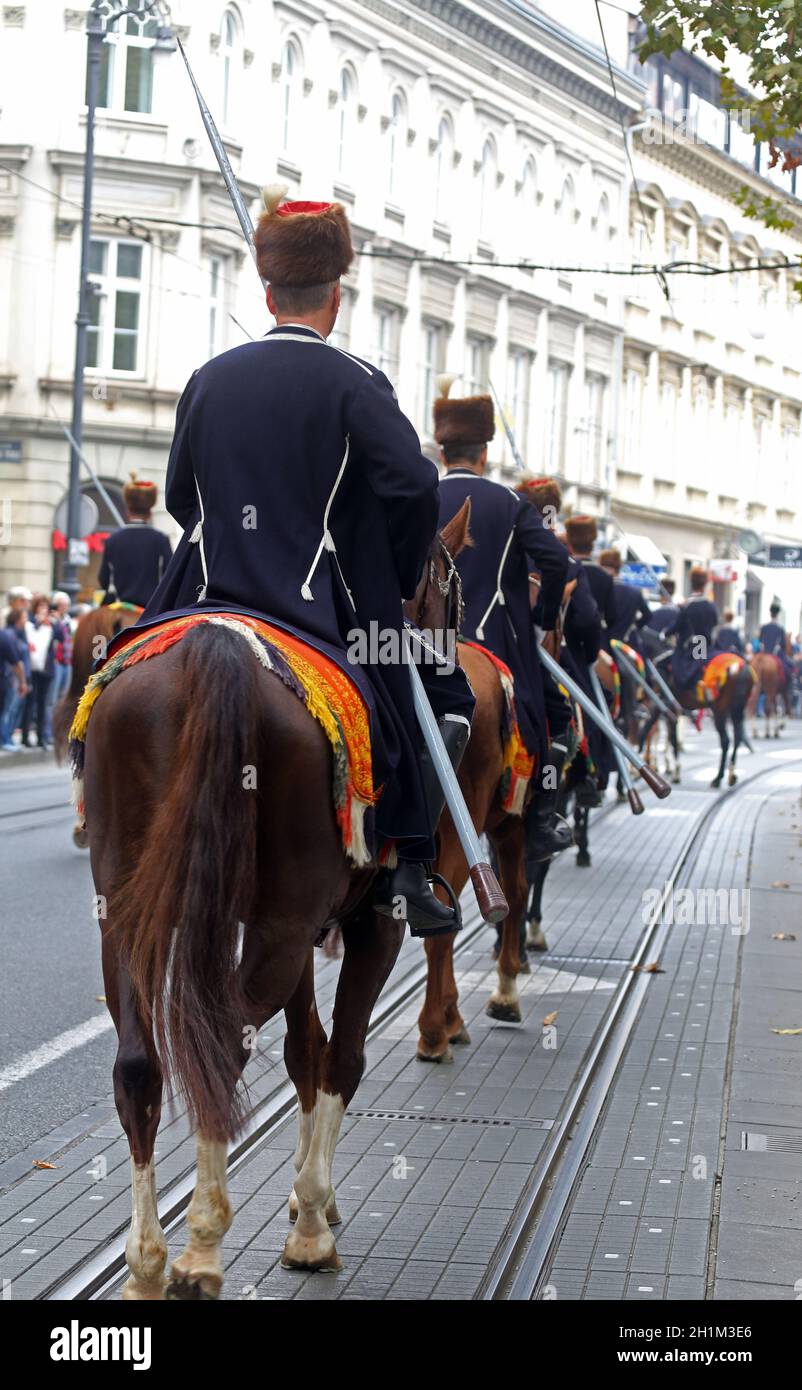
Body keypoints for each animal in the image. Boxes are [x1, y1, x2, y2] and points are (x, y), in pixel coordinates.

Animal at [79, 505, 469, 1295]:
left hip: (134, 917)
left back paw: (146, 1263)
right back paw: (201, 1248)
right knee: (224, 1044)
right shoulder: (369, 923)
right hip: (288, 926)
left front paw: (303, 1197)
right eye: (449, 589)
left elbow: (304, 1050)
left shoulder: (293, 930)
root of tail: (216, 649)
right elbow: (340, 1055)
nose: (451, 671)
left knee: (142, 1063)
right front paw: (311, 1220)